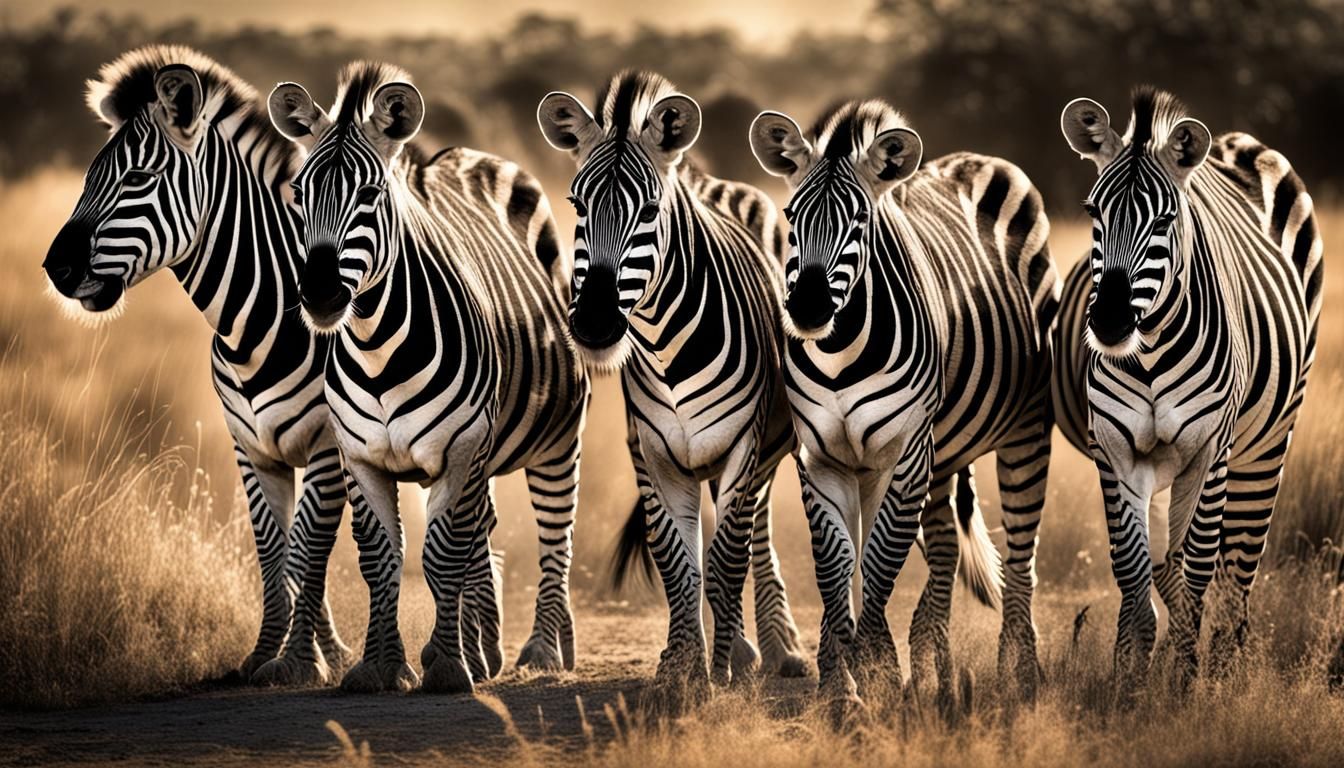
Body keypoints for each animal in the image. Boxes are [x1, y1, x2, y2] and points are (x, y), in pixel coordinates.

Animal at [42, 46, 356, 686]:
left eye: (138, 179)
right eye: (88, 179)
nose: (55, 268)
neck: (255, 322)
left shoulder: (326, 446)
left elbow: (309, 546)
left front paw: (299, 661)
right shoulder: (250, 446)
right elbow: (275, 550)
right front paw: (272, 654)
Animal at [268, 62, 589, 693]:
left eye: (370, 195)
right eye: (299, 194)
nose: (319, 297)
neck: (376, 349)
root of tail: (465, 155)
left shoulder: (462, 446)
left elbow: (442, 555)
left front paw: (445, 665)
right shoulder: (360, 455)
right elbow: (381, 559)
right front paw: (382, 665)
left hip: (556, 442)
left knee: (553, 536)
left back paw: (546, 648)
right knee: (482, 528)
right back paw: (487, 649)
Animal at [536, 69, 805, 697]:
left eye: (651, 207)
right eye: (576, 204)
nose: (595, 324)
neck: (666, 345)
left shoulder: (740, 447)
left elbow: (728, 559)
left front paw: (724, 668)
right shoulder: (652, 452)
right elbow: (677, 561)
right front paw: (682, 667)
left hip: (764, 451)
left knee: (753, 538)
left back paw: (773, 649)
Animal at [749, 100, 1058, 703]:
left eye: (861, 223)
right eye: (791, 216)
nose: (807, 311)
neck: (840, 352)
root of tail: (975, 159)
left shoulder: (904, 456)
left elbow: (878, 561)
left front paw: (878, 673)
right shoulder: (820, 459)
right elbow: (837, 564)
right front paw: (841, 684)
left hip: (1025, 430)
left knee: (1022, 552)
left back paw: (1021, 674)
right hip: (942, 455)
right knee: (943, 551)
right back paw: (934, 669)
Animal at [1057, 87, 1322, 682]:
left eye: (1166, 219)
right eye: (1092, 212)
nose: (1109, 324)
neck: (1150, 351)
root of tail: (1228, 144)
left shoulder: (1208, 450)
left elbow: (1199, 563)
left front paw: (1181, 677)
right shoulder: (1114, 450)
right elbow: (1133, 568)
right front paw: (1131, 674)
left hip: (1266, 446)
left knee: (1236, 569)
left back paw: (1223, 667)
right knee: (1171, 562)